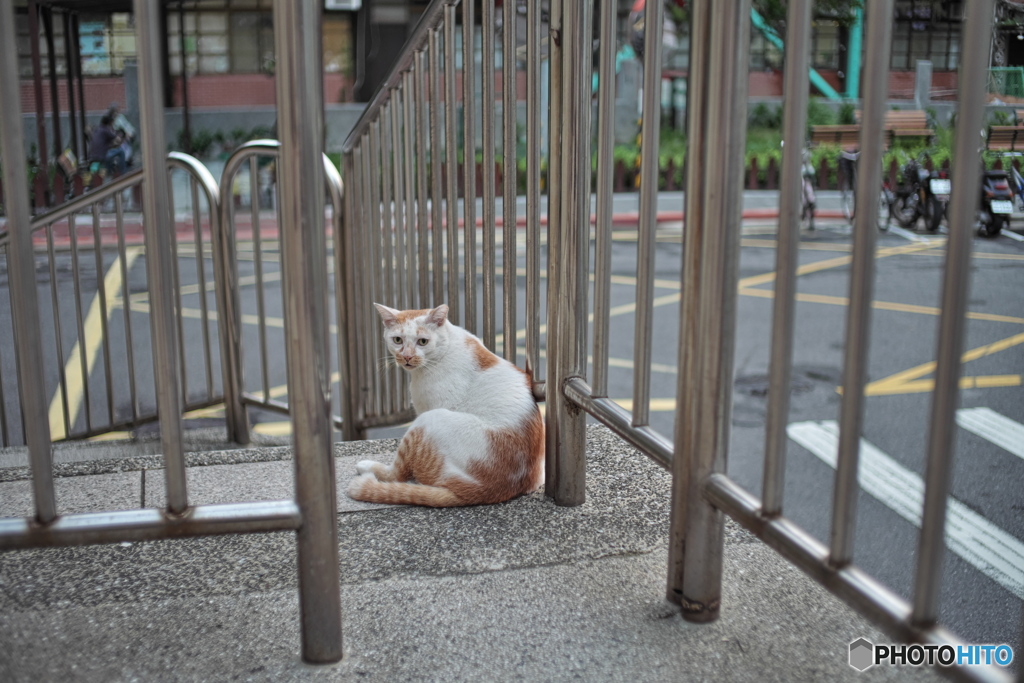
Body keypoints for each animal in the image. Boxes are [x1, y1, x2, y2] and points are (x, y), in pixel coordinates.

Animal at [346, 305, 544, 507]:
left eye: (423, 342)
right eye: (397, 340)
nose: (407, 356)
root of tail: (486, 490)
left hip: (429, 419)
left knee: (397, 474)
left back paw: (367, 466)